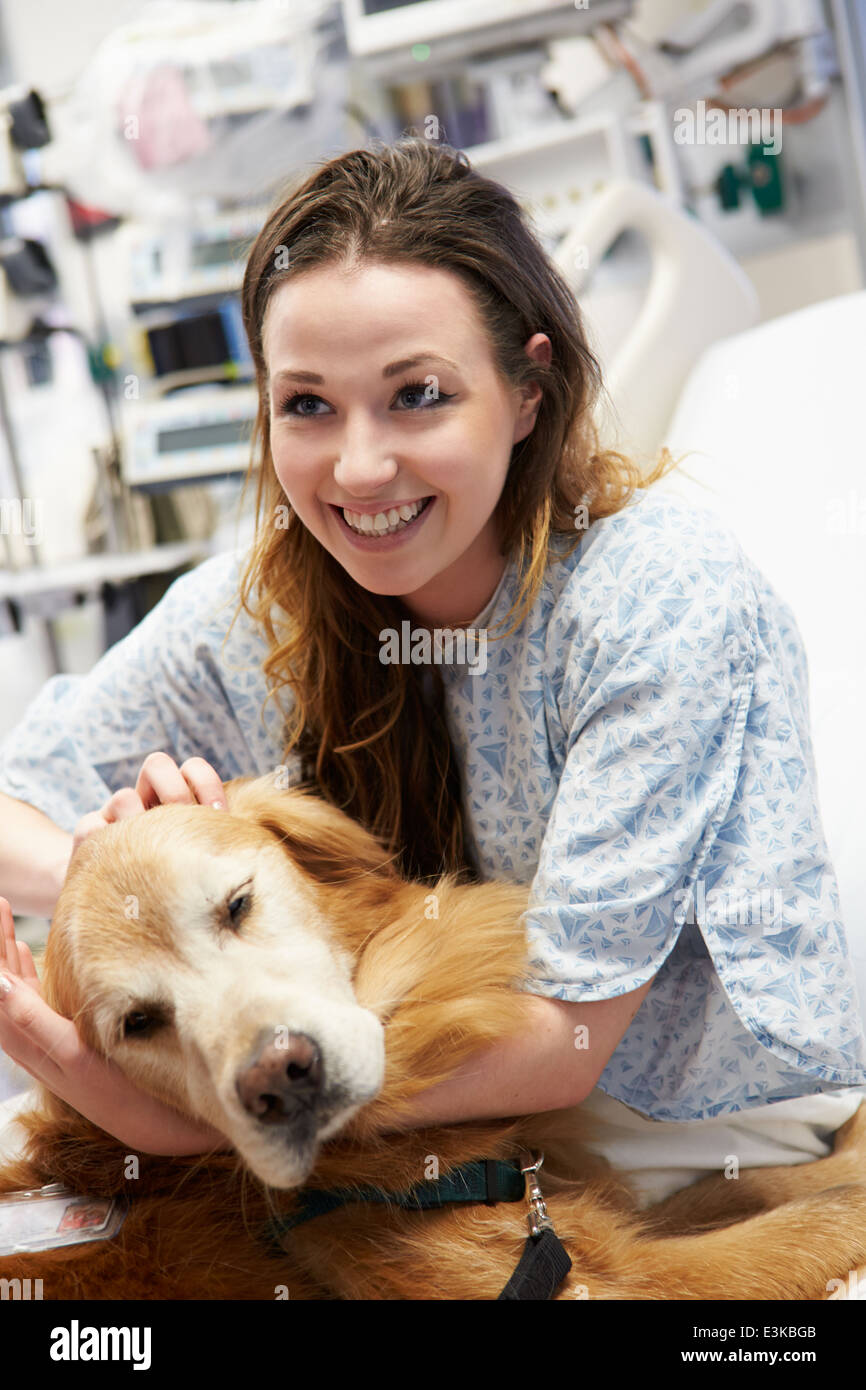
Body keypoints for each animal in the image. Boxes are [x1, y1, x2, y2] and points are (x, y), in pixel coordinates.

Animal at [1, 778, 866, 1295]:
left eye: (237, 904)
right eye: (138, 1024)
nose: (281, 1077)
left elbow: (753, 1186)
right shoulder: (605, 1280)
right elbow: (812, 1220)